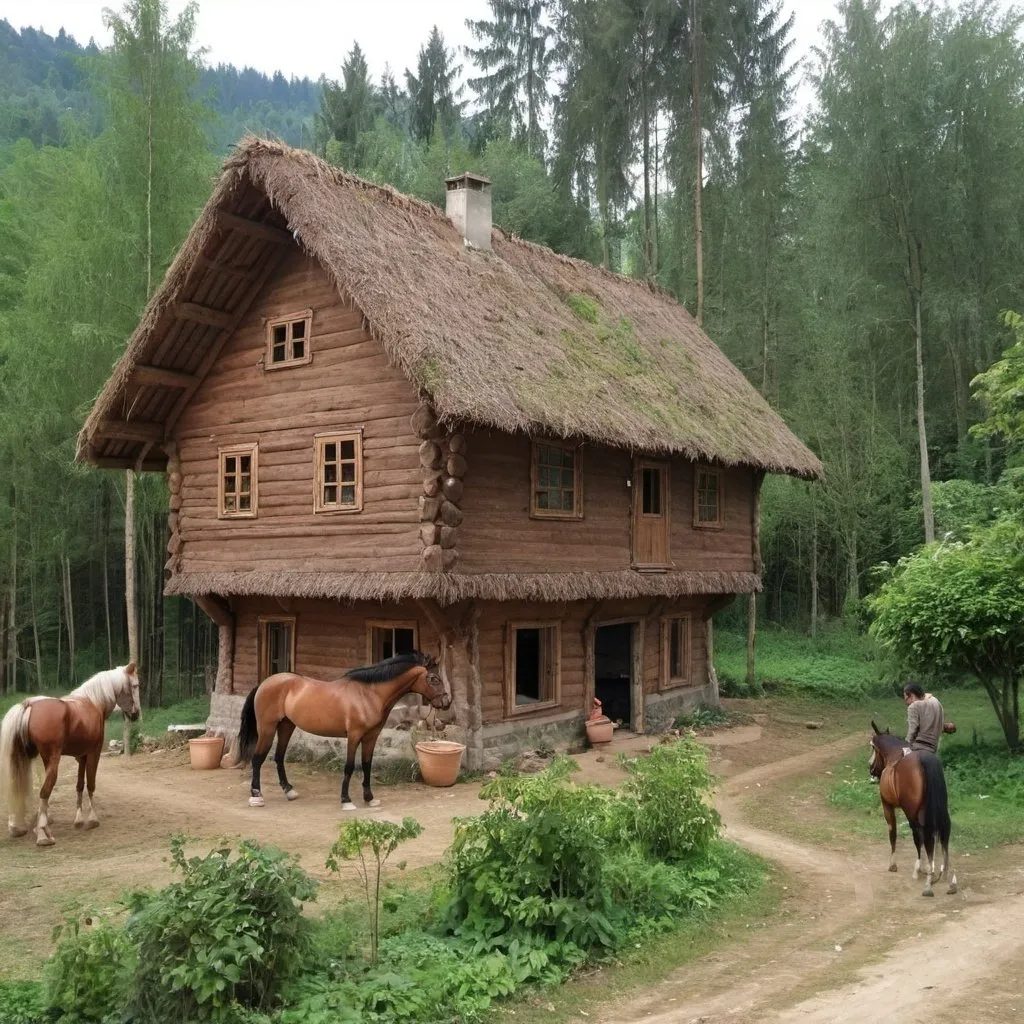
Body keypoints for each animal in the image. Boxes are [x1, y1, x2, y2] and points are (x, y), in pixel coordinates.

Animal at [1, 663, 141, 847]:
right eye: (136, 685)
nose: (136, 714)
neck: (93, 702)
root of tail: (29, 704)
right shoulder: (94, 753)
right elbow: (91, 785)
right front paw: (92, 819)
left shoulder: (81, 756)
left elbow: (79, 785)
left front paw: (79, 819)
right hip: (51, 760)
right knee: (44, 791)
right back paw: (42, 833)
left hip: (28, 759)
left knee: (18, 785)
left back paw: (19, 827)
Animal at [239, 651, 452, 811]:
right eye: (433, 678)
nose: (446, 702)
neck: (369, 694)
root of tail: (265, 683)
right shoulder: (354, 735)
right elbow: (349, 766)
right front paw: (346, 800)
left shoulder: (371, 737)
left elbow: (366, 765)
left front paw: (369, 798)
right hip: (267, 728)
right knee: (257, 759)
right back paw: (256, 796)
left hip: (286, 726)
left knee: (279, 757)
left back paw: (289, 791)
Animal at [868, 720, 954, 897]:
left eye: (872, 746)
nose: (870, 768)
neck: (893, 755)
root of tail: (924, 759)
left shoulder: (887, 805)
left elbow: (892, 832)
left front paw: (893, 865)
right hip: (937, 809)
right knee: (940, 833)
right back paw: (944, 875)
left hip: (911, 811)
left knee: (920, 834)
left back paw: (922, 873)